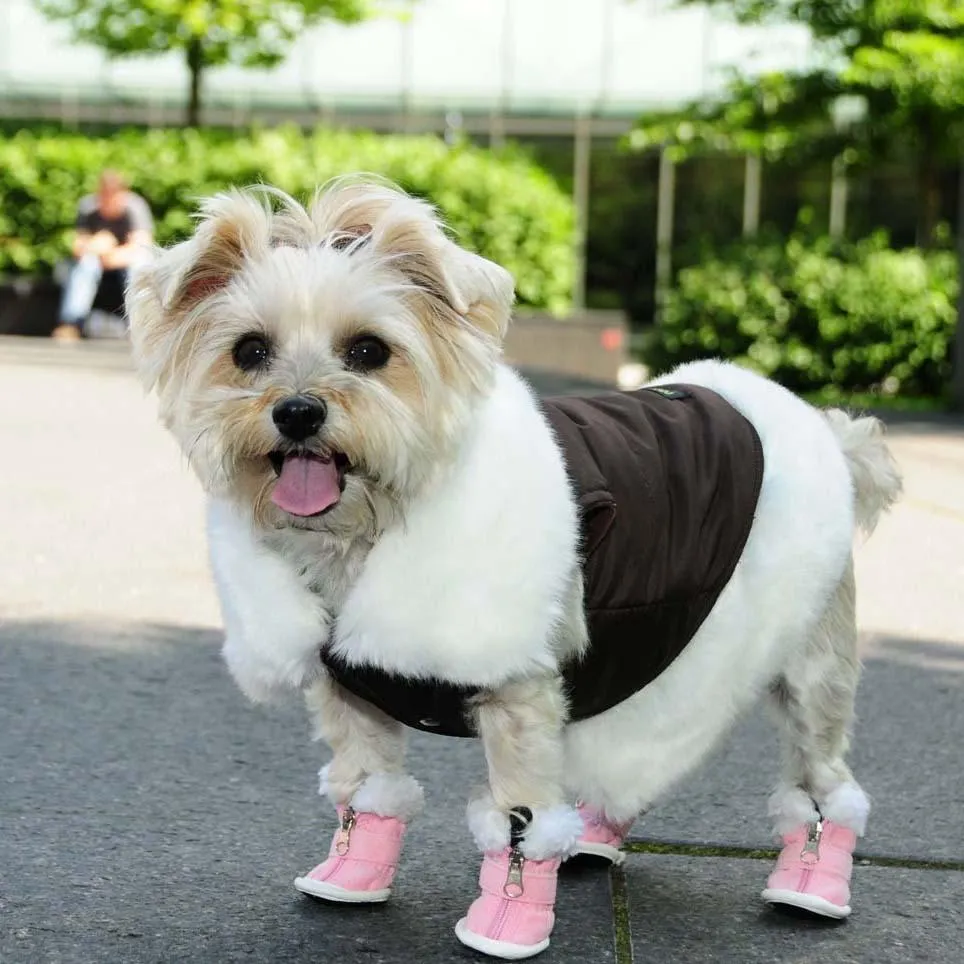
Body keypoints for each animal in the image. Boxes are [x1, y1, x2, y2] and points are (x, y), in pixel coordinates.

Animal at [128, 177, 904, 960]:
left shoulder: (518, 691)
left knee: (821, 774)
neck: (370, 533)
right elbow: (367, 782)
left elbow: (519, 815)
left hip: (809, 663)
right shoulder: (351, 686)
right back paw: (598, 831)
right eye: (249, 351)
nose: (295, 412)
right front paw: (353, 868)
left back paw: (811, 877)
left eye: (369, 350)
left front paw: (509, 916)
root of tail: (828, 435)